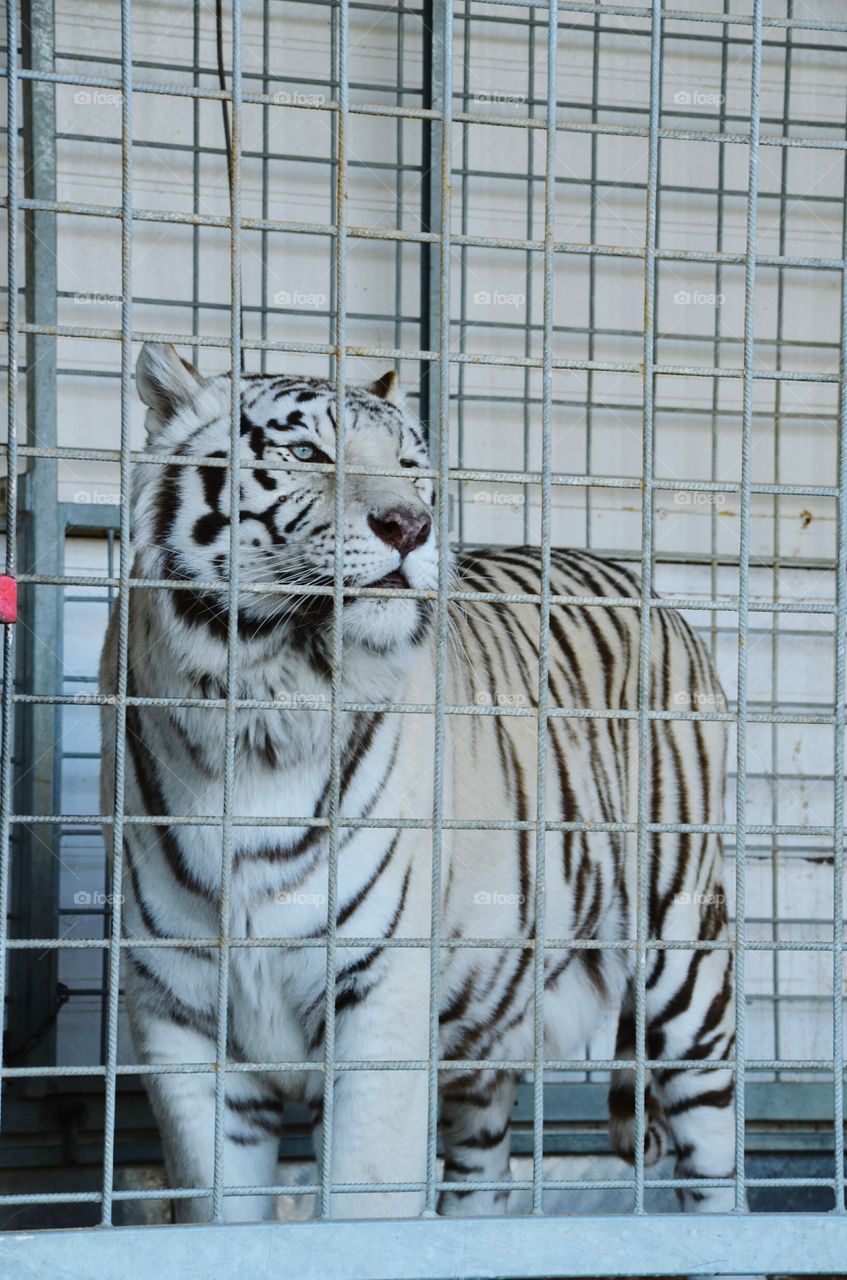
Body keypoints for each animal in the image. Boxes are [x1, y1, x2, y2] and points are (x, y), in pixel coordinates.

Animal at [100, 340, 741, 1235]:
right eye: (308, 455)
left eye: (410, 467)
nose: (410, 525)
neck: (260, 712)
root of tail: (646, 585)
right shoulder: (183, 1019)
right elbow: (218, 1208)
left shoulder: (380, 999)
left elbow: (366, 1195)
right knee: (481, 1169)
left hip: (683, 953)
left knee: (712, 1151)